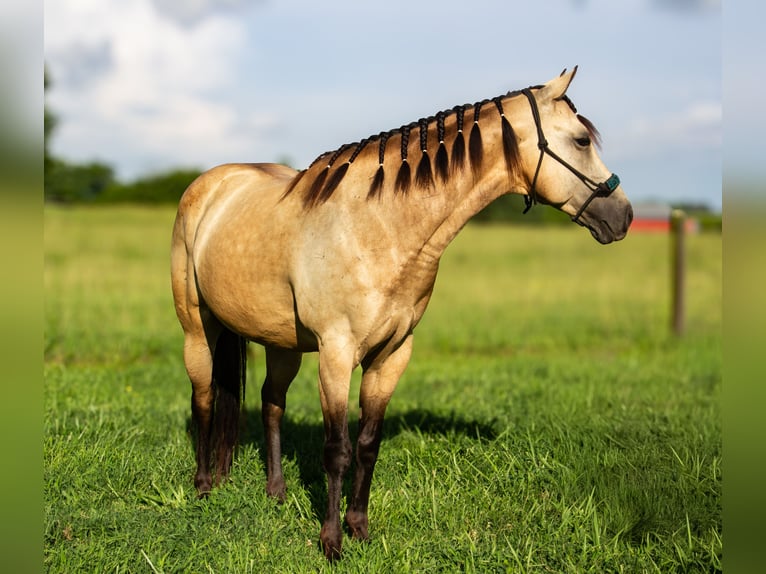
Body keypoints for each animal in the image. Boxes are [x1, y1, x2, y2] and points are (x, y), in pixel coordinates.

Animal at [170, 67, 632, 560]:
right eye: (581, 140)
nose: (623, 216)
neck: (378, 229)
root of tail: (210, 184)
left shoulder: (391, 355)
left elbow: (367, 444)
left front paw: (358, 528)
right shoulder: (337, 355)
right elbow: (337, 449)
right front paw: (331, 543)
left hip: (283, 344)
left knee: (270, 402)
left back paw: (275, 492)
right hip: (198, 329)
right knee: (204, 398)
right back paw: (203, 486)